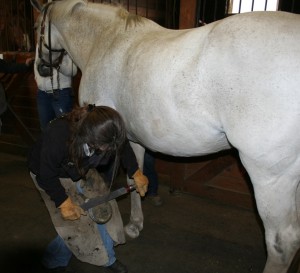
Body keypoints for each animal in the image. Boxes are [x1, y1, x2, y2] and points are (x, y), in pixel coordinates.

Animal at [31, 1, 300, 270]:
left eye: (36, 27)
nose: (41, 69)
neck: (105, 40)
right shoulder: (132, 140)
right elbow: (135, 177)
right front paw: (135, 224)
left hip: (270, 177)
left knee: (282, 243)